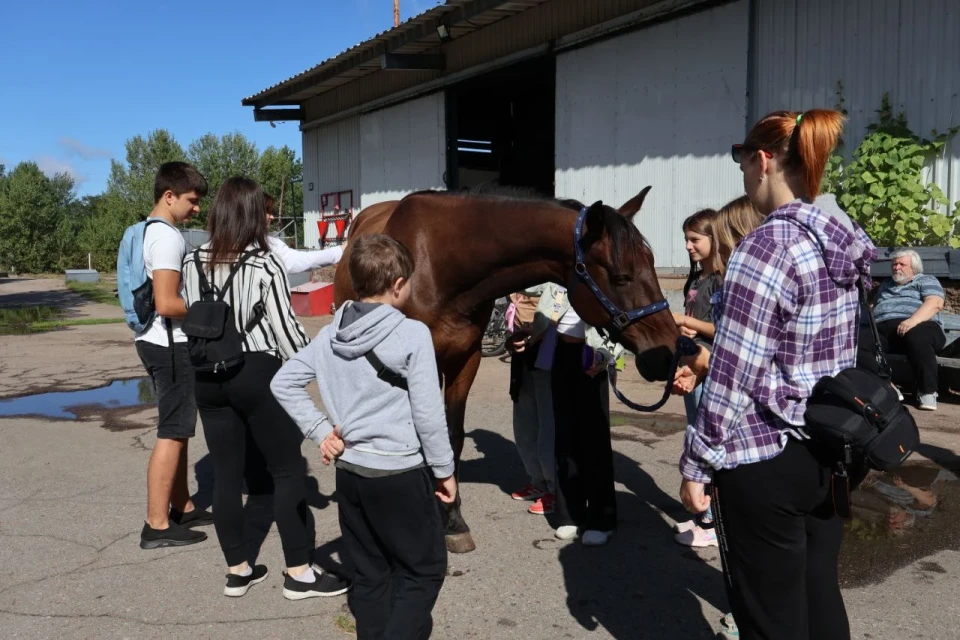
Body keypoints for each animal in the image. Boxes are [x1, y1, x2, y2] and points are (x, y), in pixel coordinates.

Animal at [334, 188, 680, 552]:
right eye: (621, 277)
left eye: (652, 265)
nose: (668, 354)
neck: (438, 268)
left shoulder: (466, 359)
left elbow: (451, 437)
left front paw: (453, 519)